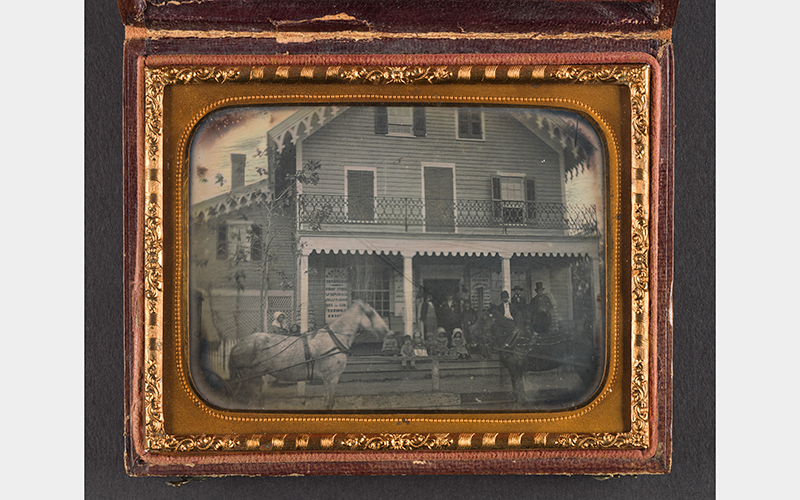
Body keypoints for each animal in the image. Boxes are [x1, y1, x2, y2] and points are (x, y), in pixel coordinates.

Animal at [228, 300, 390, 410]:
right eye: (370, 313)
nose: (386, 331)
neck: (334, 339)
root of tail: (238, 344)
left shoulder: (328, 380)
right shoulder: (331, 378)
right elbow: (329, 404)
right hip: (250, 378)